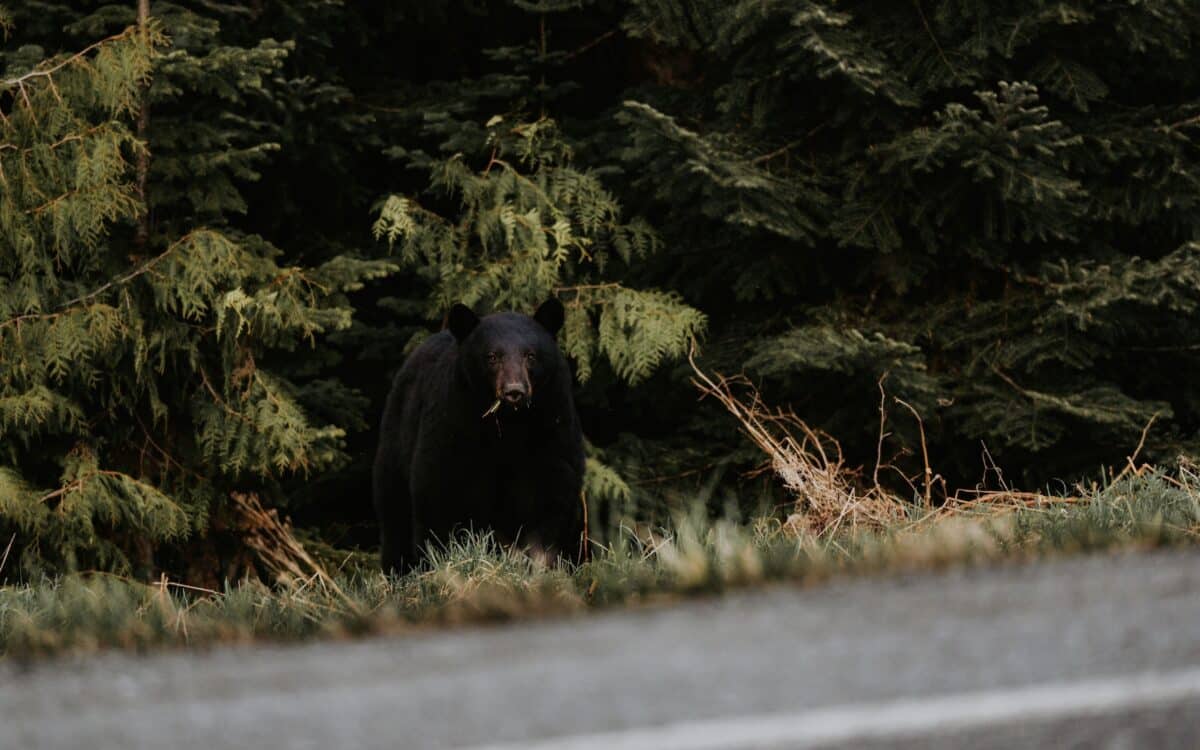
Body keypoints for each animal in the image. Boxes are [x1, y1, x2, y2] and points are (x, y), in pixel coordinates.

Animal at [372, 299, 586, 573]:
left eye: (530, 355)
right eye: (492, 356)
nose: (514, 391)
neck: (509, 426)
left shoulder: (552, 426)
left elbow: (552, 492)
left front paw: (539, 566)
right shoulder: (453, 424)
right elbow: (438, 493)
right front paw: (442, 564)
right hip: (396, 441)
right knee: (394, 513)